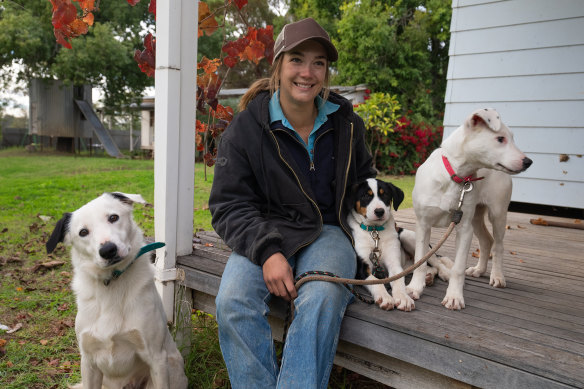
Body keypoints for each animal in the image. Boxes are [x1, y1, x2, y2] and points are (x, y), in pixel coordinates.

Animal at [46, 192, 187, 388]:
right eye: (83, 232)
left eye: (113, 217)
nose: (108, 250)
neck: (111, 283)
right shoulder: (89, 362)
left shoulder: (157, 358)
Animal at [346, 177, 452, 310]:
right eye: (365, 195)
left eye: (385, 194)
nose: (379, 211)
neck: (374, 232)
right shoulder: (362, 271)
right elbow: (376, 283)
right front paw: (385, 297)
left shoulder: (394, 264)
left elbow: (398, 282)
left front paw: (403, 298)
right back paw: (428, 277)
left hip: (407, 237)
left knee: (436, 263)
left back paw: (445, 274)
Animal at [408, 108, 532, 310]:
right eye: (500, 139)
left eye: (512, 138)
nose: (528, 162)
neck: (455, 176)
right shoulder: (423, 225)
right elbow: (420, 259)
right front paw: (414, 289)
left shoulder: (464, 229)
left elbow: (458, 268)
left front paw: (454, 297)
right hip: (476, 217)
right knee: (487, 241)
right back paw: (479, 270)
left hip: (497, 213)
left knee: (498, 245)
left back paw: (497, 276)